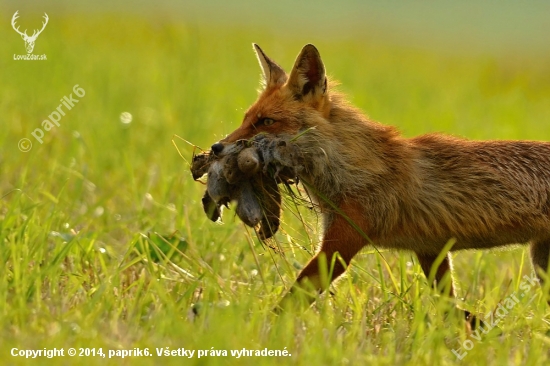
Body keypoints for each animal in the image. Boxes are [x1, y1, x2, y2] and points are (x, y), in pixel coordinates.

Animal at [210, 43, 548, 318]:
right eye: (245, 119)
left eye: (266, 121)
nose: (216, 148)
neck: (349, 169)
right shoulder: (432, 250)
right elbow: (450, 312)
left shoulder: (340, 245)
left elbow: (291, 300)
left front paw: (261, 328)